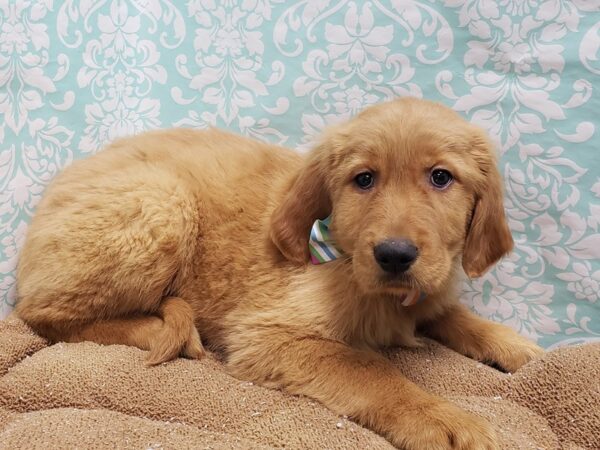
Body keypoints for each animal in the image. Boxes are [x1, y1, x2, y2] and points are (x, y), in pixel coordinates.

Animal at [17, 99, 544, 450]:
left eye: (441, 177)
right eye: (364, 179)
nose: (395, 255)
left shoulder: (427, 292)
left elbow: (457, 316)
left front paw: (518, 348)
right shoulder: (268, 334)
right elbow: (371, 368)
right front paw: (441, 419)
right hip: (161, 202)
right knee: (43, 315)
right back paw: (155, 329)